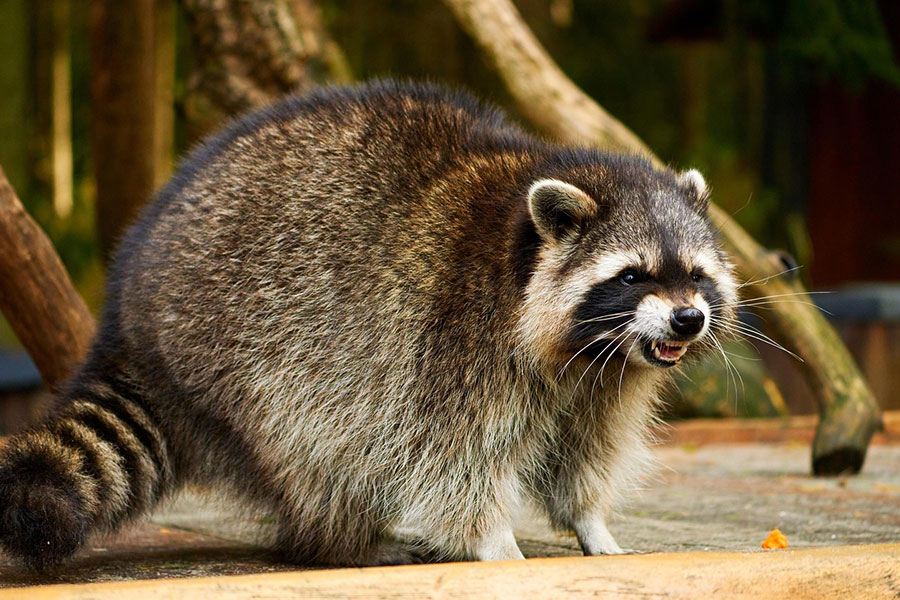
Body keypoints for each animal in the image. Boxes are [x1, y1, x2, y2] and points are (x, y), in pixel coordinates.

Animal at [0, 81, 737, 570]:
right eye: (634, 275)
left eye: (696, 276)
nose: (688, 319)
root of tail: (127, 316)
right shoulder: (457, 337)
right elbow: (451, 460)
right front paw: (493, 542)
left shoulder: (605, 381)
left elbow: (584, 455)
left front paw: (592, 526)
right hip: (242, 342)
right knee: (321, 443)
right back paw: (343, 542)